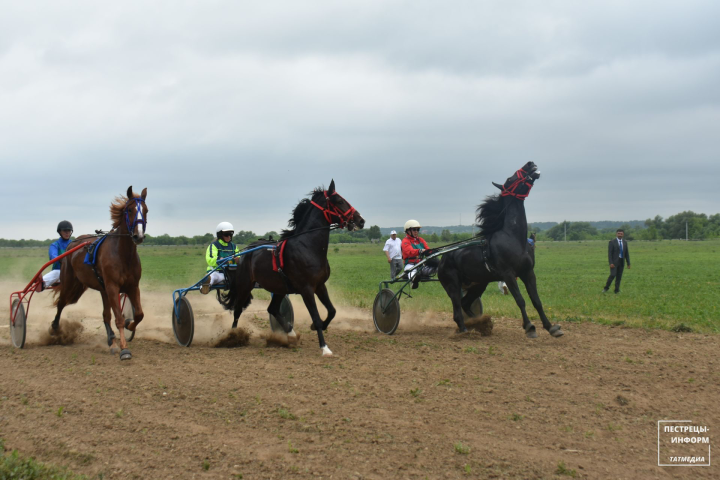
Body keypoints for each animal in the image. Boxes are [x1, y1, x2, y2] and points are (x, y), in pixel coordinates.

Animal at [54, 188, 149, 360]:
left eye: (146, 210)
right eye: (129, 210)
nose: (138, 236)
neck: (122, 254)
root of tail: (72, 243)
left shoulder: (132, 286)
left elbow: (138, 314)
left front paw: (129, 325)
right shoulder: (112, 287)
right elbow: (118, 318)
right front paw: (124, 349)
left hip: (100, 289)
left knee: (105, 315)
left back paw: (111, 341)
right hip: (70, 283)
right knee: (61, 303)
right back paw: (55, 328)